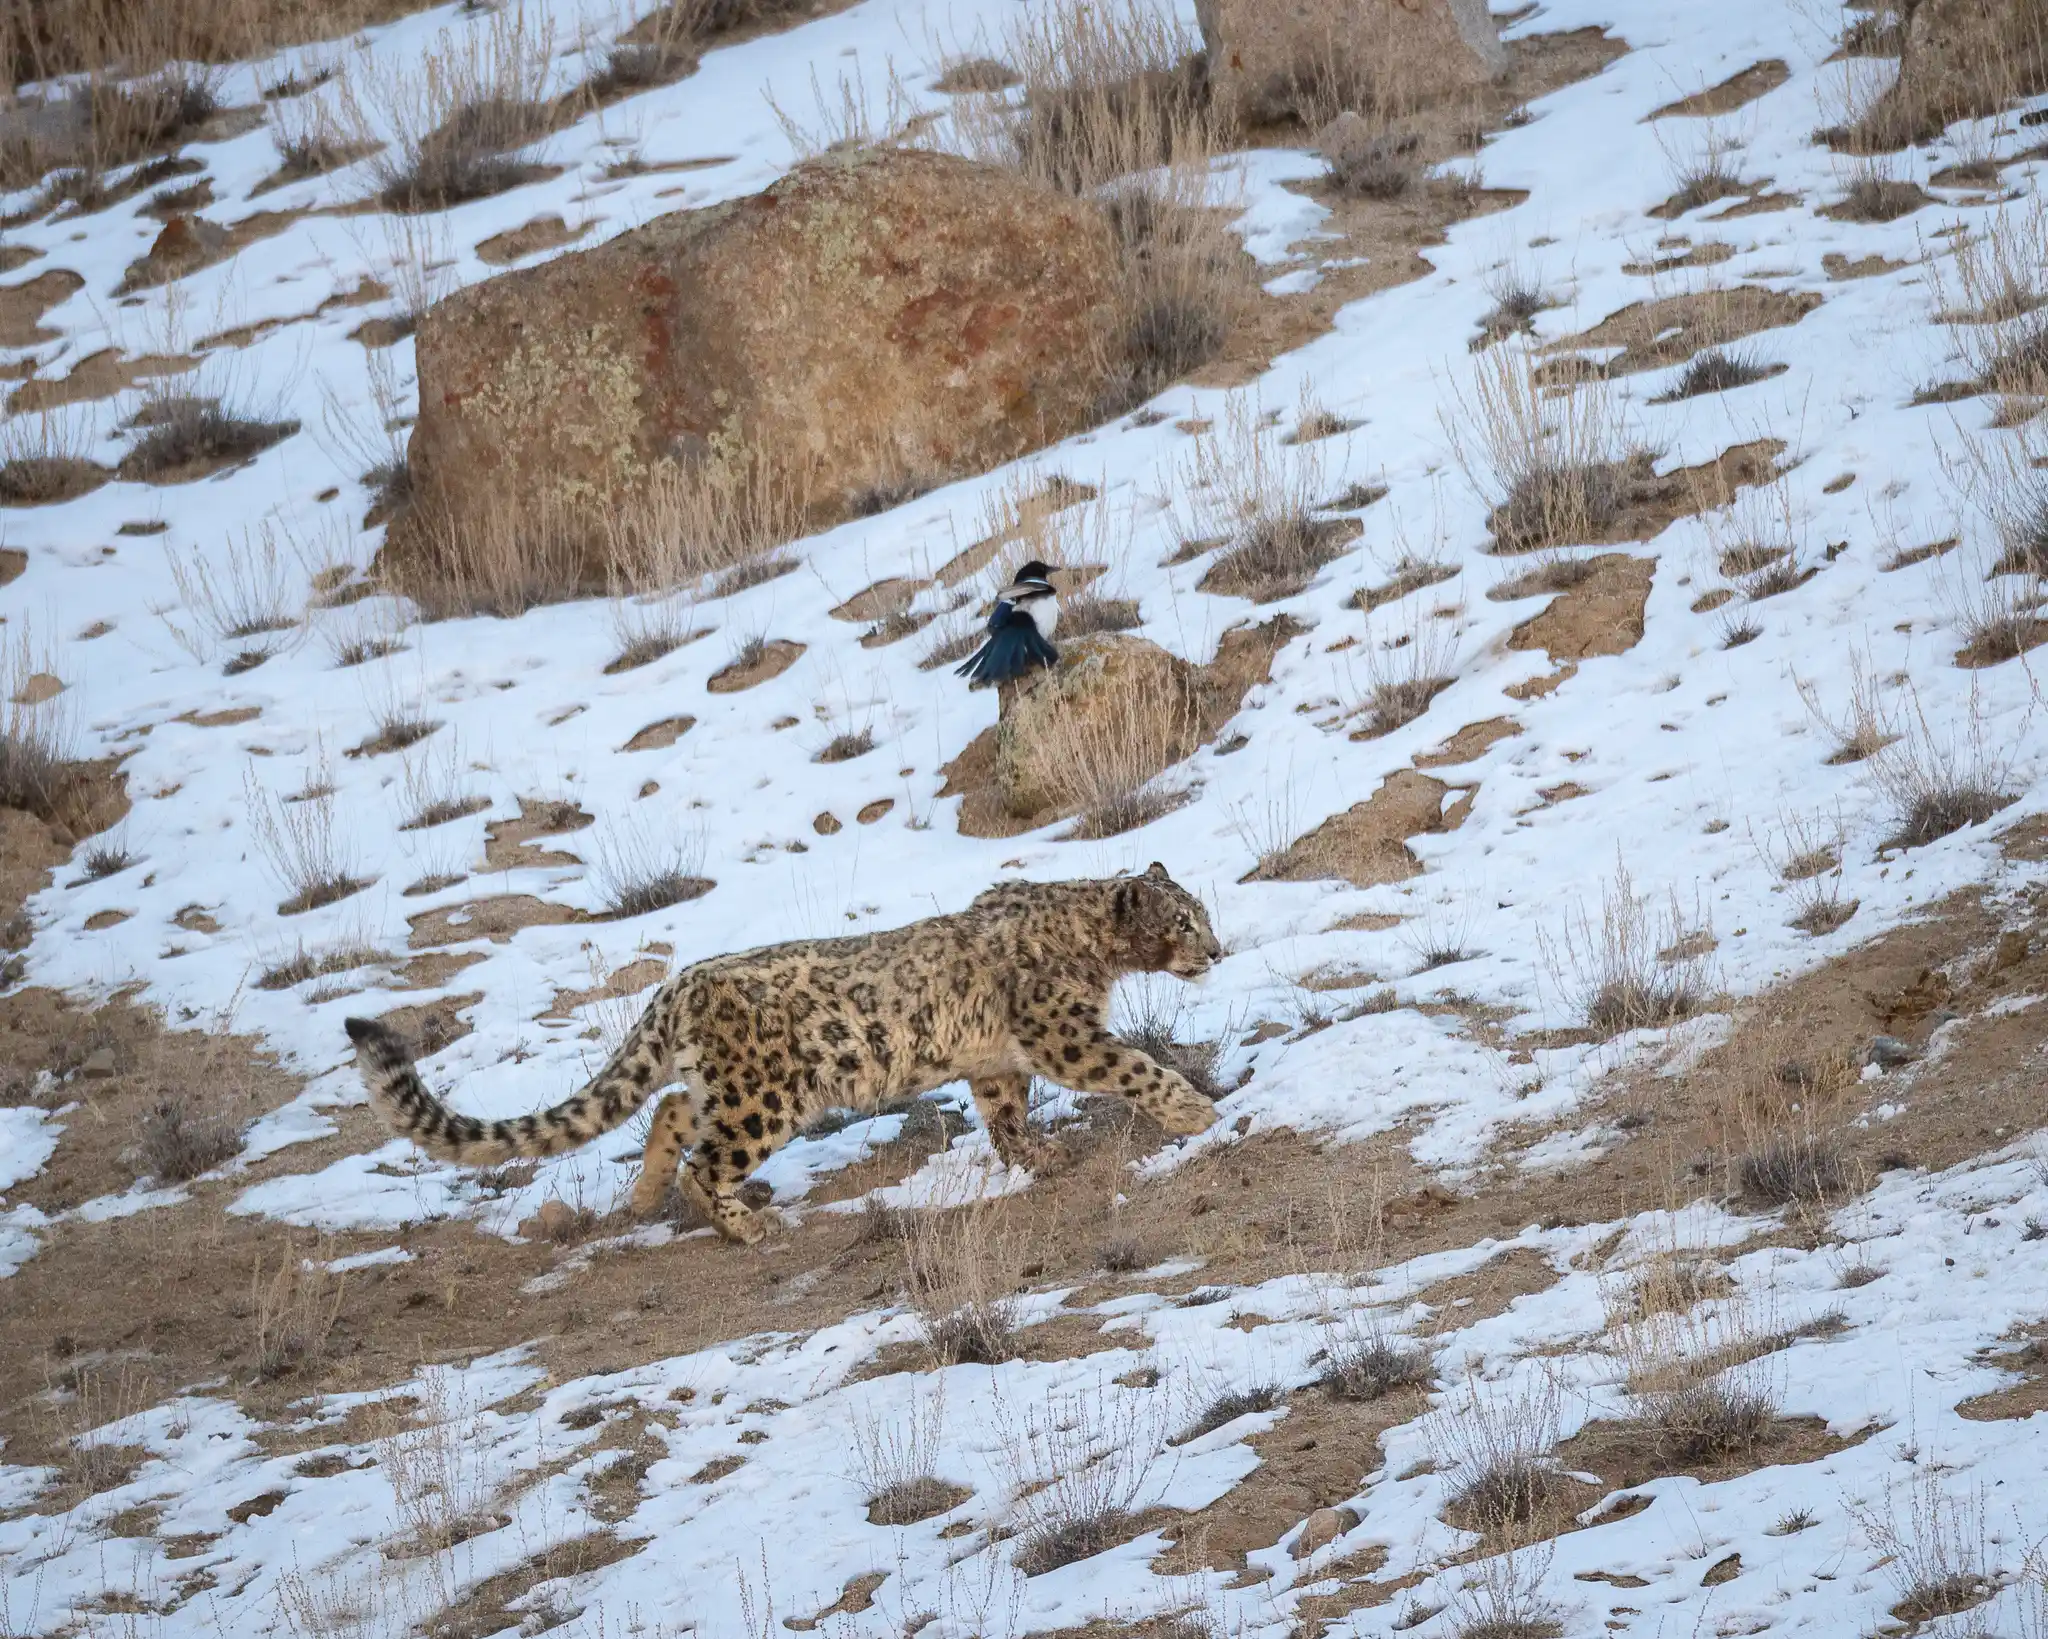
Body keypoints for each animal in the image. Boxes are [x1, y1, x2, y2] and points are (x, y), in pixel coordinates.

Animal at [343, 862, 1224, 1244]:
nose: (1218, 949)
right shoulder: (1063, 1032)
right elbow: (1131, 1065)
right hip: (766, 1096)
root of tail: (676, 986)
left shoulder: (996, 1058)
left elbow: (1006, 1114)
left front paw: (1039, 1155)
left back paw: (646, 1197)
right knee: (706, 1155)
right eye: (1182, 919)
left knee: (672, 1109)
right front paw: (1195, 1110)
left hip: (727, 1086)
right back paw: (745, 1222)